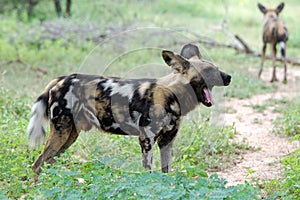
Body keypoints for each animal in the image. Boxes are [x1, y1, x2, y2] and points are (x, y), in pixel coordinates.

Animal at [27, 44, 231, 175]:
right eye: (210, 71)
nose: (229, 77)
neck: (173, 94)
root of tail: (60, 79)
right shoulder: (147, 139)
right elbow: (148, 173)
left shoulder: (166, 142)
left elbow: (165, 174)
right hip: (61, 132)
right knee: (37, 165)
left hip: (69, 137)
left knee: (45, 164)